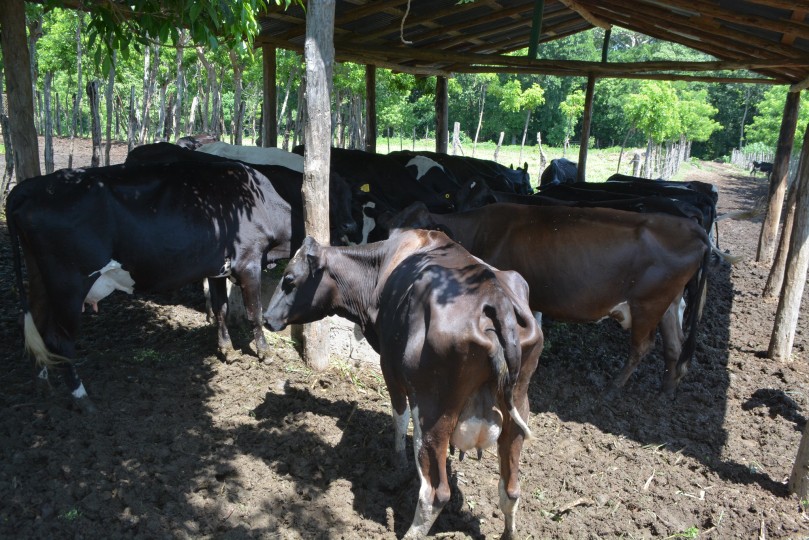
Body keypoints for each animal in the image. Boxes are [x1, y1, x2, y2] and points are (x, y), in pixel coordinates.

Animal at [266, 232, 544, 540]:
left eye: (290, 279)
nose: (266, 318)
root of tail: (495, 297)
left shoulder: (389, 365)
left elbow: (399, 416)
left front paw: (398, 461)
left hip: (434, 412)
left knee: (435, 493)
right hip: (517, 407)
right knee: (511, 488)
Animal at [388, 202, 712, 396]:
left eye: (420, 233)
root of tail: (693, 228)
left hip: (648, 303)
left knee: (643, 346)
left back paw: (613, 387)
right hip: (669, 302)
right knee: (673, 345)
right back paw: (666, 390)